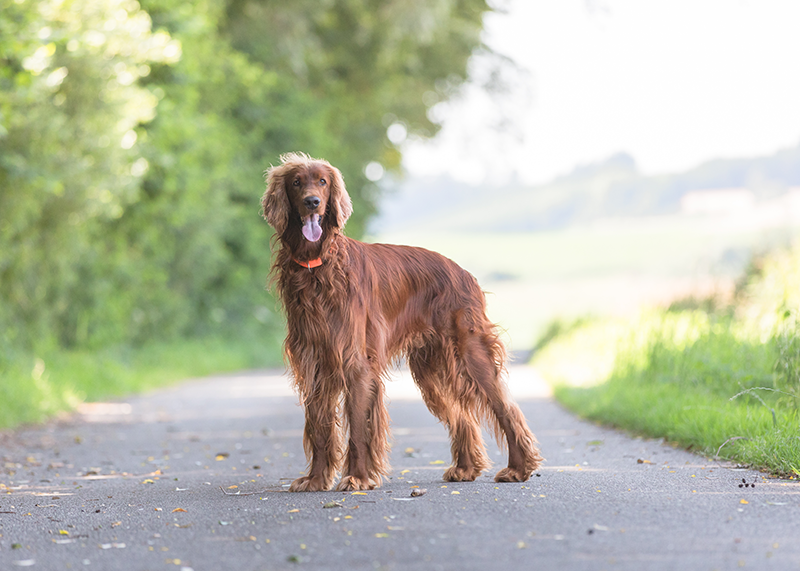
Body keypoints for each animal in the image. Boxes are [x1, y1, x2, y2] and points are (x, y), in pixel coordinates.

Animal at [262, 152, 544, 492]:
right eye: (296, 182)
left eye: (323, 181)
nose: (312, 202)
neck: (318, 266)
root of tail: (464, 273)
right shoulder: (314, 361)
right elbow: (319, 427)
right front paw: (316, 479)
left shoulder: (355, 362)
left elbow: (358, 429)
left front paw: (357, 477)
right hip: (432, 370)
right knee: (461, 414)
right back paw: (465, 468)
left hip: (470, 351)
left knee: (505, 408)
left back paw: (519, 468)